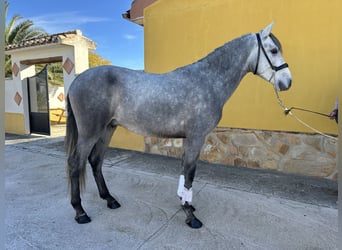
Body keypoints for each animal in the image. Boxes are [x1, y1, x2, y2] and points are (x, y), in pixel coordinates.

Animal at [66, 23, 292, 229]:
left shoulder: (189, 139)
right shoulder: (196, 137)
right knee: (76, 163)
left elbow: (184, 172)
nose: (287, 82)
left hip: (107, 129)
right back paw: (80, 212)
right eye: (274, 50)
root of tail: (78, 80)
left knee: (95, 161)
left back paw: (110, 199)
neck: (207, 81)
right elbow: (190, 173)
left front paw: (186, 205)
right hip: (90, 132)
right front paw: (190, 216)